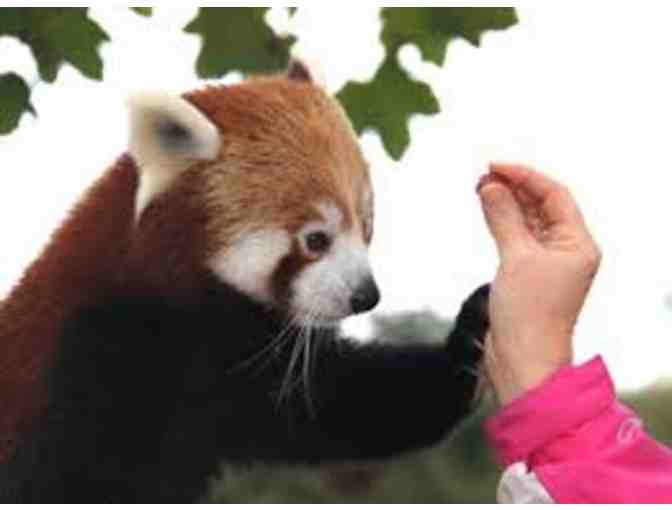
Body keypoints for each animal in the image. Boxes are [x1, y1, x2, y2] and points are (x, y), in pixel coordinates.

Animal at [0, 61, 490, 502]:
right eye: (316, 240)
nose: (366, 297)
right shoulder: (90, 352)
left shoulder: (238, 369)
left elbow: (334, 403)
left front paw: (471, 336)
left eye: (367, 226)